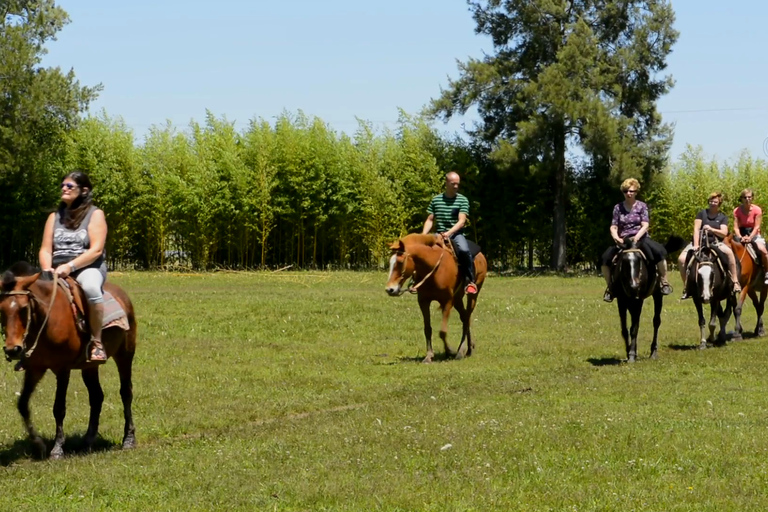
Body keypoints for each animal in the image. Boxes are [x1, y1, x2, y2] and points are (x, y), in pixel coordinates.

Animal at [0, 262, 136, 458]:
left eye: (24, 308)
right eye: (1, 310)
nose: (12, 349)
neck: (46, 321)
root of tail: (123, 296)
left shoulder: (62, 369)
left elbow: (59, 408)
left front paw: (57, 449)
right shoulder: (35, 368)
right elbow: (23, 404)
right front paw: (38, 444)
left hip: (125, 355)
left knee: (126, 392)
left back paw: (129, 439)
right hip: (89, 366)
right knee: (97, 397)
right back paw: (88, 441)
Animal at [384, 234, 486, 362]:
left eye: (400, 262)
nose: (390, 289)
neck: (433, 268)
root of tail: (481, 255)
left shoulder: (447, 301)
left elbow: (442, 331)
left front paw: (449, 351)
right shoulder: (423, 301)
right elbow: (427, 329)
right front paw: (429, 356)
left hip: (472, 296)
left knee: (467, 317)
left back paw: (461, 351)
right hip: (458, 299)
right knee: (465, 318)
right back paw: (468, 348)